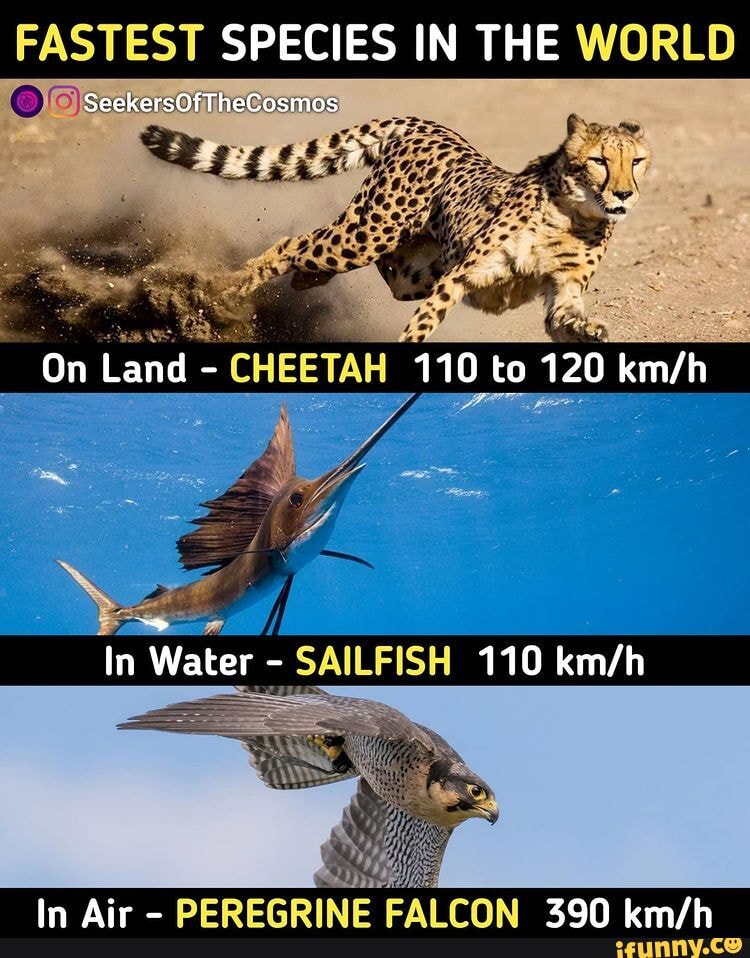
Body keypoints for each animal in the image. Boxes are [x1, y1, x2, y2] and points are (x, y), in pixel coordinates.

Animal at [141, 113, 651, 342]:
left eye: (637, 161)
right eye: (600, 161)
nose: (625, 194)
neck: (573, 215)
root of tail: (425, 125)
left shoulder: (561, 289)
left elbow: (566, 318)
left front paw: (591, 331)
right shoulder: (459, 276)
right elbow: (425, 325)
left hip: (411, 271)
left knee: (363, 267)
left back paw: (300, 280)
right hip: (367, 234)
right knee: (295, 242)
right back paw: (211, 296)